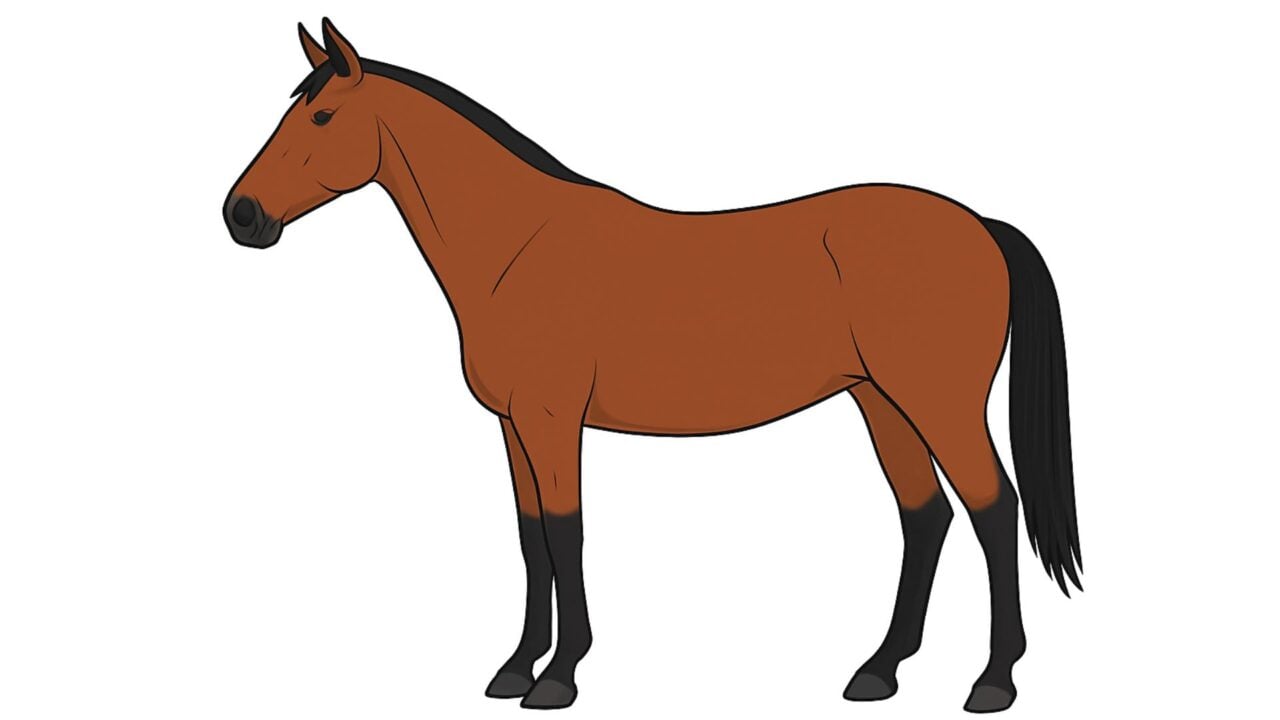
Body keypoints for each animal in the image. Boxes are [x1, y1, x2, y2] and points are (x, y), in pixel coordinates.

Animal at [224, 18, 1081, 713]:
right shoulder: (513, 428)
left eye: (322, 115)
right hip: (881, 402)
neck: (518, 248)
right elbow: (529, 539)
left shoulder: (552, 420)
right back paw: (879, 671)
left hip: (938, 404)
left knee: (992, 509)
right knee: (924, 515)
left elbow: (565, 534)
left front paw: (558, 677)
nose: (242, 216)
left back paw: (993, 681)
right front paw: (514, 668)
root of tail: (981, 226)